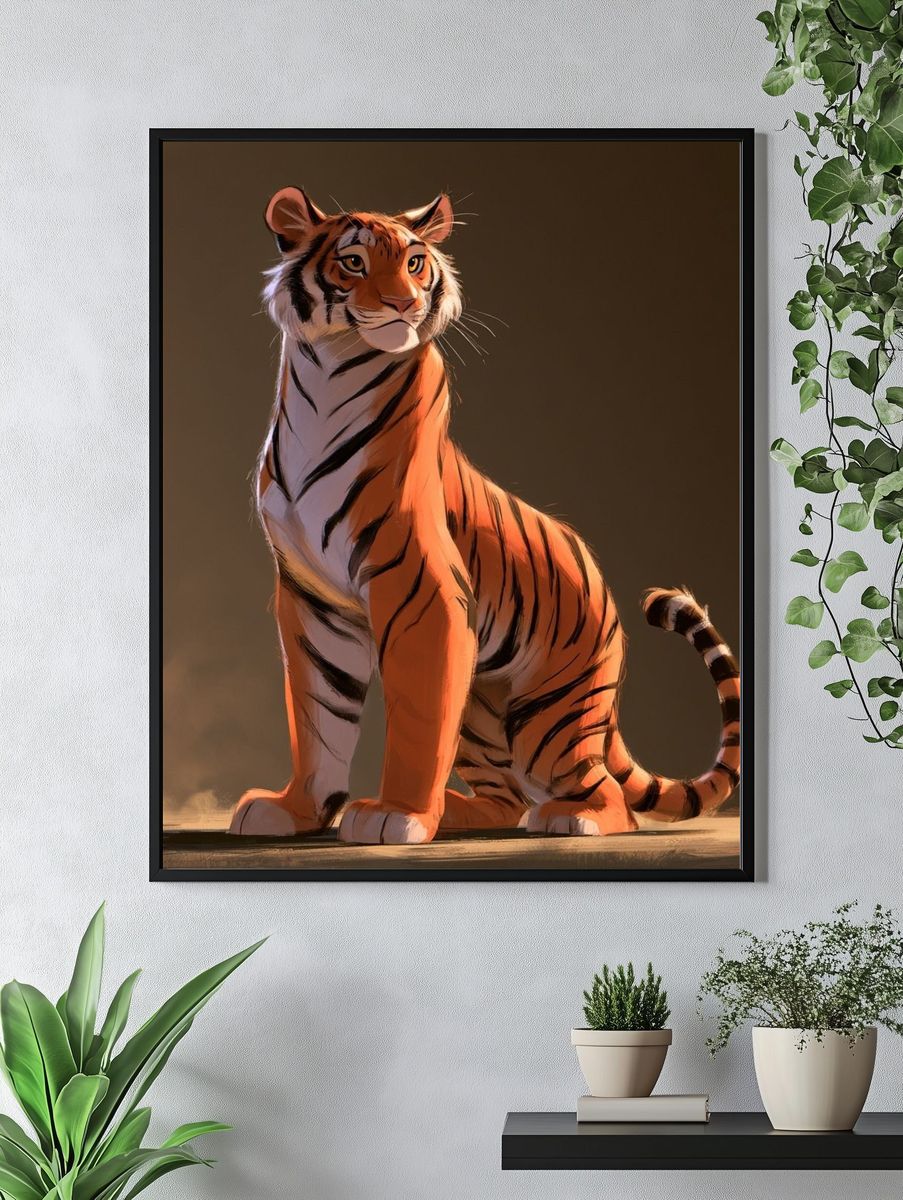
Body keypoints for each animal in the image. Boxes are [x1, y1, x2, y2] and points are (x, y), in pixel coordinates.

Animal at [227, 185, 741, 844]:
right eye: (354, 263)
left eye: (415, 263)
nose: (405, 302)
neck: (330, 374)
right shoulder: (312, 598)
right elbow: (318, 716)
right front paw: (296, 810)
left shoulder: (420, 590)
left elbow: (418, 720)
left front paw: (395, 814)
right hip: (480, 701)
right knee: (504, 797)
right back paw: (456, 811)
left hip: (549, 717)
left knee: (607, 796)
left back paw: (568, 818)